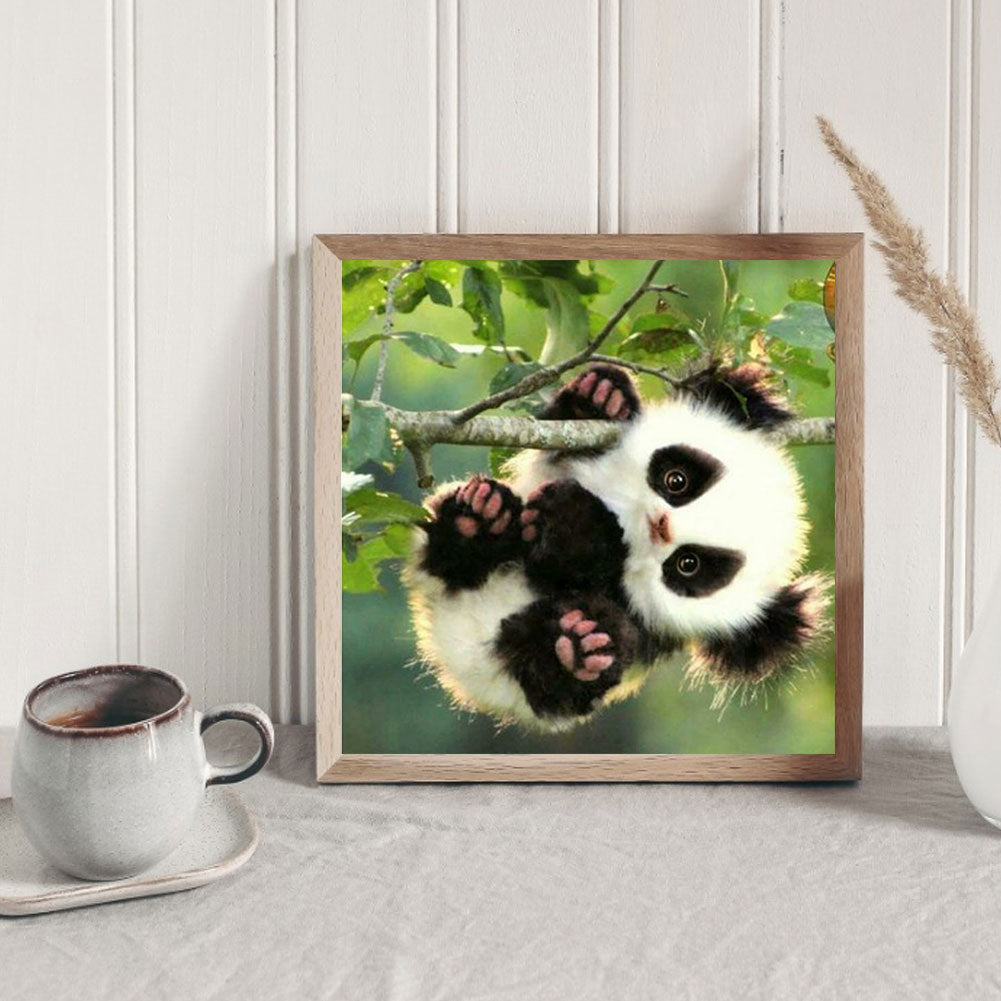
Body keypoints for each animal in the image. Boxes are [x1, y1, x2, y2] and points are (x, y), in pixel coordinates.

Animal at [404, 362, 829, 732]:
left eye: (688, 563)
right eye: (677, 481)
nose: (661, 524)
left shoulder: (646, 625)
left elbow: (591, 574)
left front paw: (576, 526)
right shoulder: (555, 466)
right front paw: (601, 397)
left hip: (533, 679)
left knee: (564, 661)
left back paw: (580, 647)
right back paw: (478, 519)